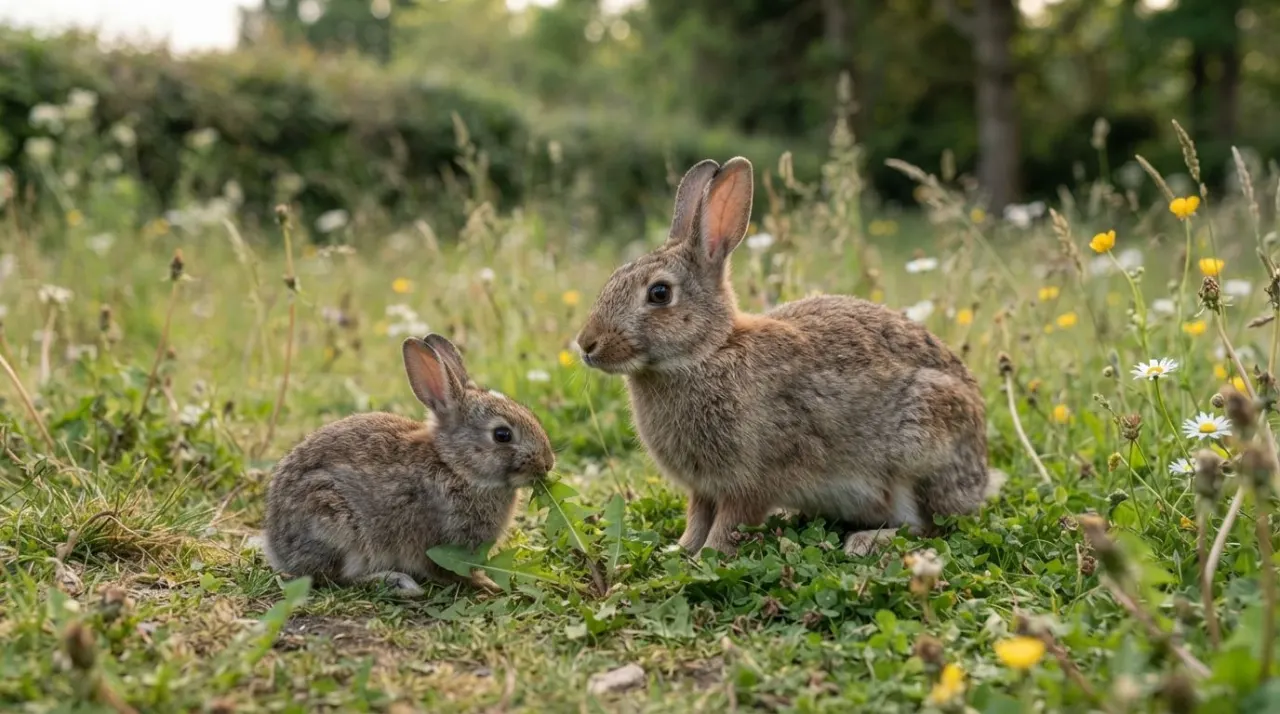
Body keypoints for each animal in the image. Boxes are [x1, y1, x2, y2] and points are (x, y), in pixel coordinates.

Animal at [263, 333, 556, 595]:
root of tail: (276, 548)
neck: (455, 466)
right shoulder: (440, 540)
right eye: (502, 435)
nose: (548, 464)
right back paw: (396, 583)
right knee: (332, 578)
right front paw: (486, 583)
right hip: (334, 523)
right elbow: (447, 570)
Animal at [574, 157, 999, 558]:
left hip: (920, 449)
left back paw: (865, 541)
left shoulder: (752, 480)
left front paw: (708, 555)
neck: (709, 352)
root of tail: (979, 475)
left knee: (928, 526)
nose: (586, 344)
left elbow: (730, 521)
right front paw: (680, 550)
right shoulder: (704, 487)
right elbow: (697, 518)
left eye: (659, 293)